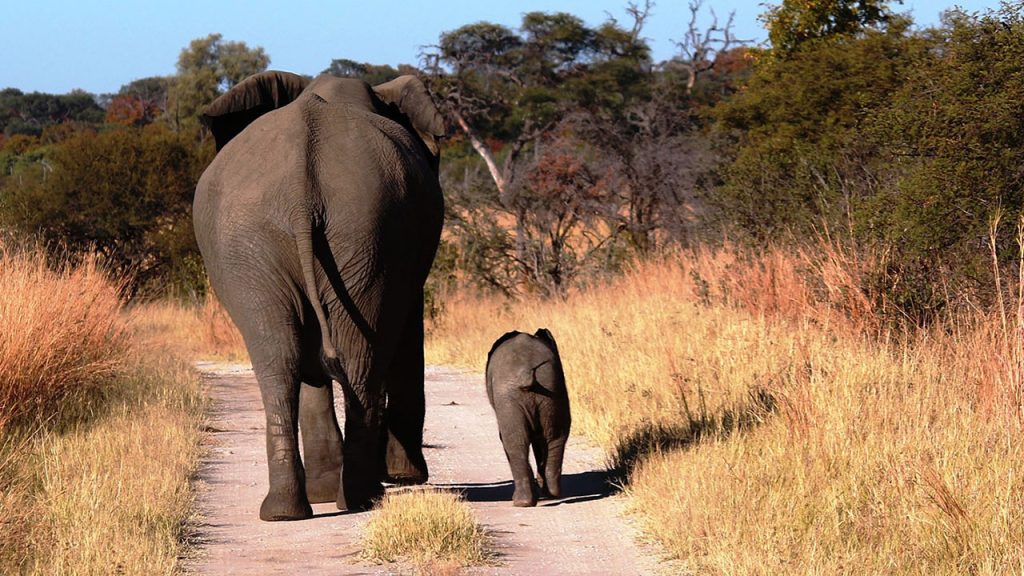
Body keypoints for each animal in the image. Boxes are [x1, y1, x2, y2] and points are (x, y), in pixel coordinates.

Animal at [193, 70, 445, 521]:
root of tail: (299, 191)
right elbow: (405, 334)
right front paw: (404, 478)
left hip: (317, 237)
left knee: (283, 360)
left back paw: (302, 507)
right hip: (338, 235)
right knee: (345, 359)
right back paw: (354, 498)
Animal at [485, 329, 572, 507]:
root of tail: (527, 374)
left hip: (510, 397)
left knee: (515, 441)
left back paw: (523, 501)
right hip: (553, 391)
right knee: (555, 437)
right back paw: (550, 494)